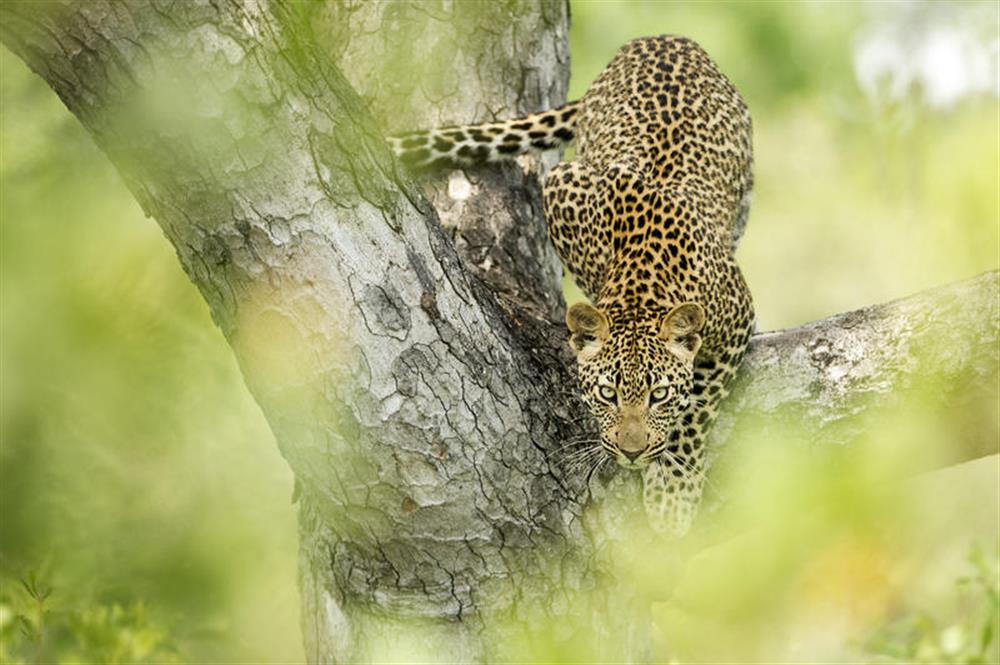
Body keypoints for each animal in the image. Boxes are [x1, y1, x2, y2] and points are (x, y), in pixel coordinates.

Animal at [394, 35, 752, 536]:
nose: (632, 452)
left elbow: (695, 410)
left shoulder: (737, 318)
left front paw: (672, 494)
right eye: (607, 394)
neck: (642, 278)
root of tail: (661, 38)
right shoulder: (560, 186)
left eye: (659, 395)